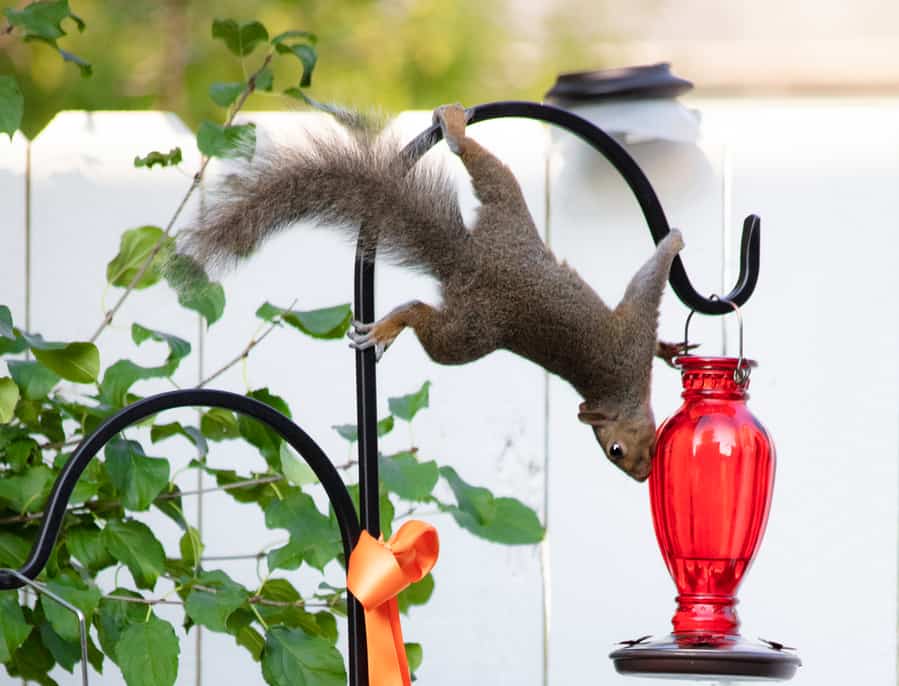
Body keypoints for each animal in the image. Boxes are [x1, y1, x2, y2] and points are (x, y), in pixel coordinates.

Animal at [185, 103, 688, 484]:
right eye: (616, 450)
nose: (641, 476)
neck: (619, 393)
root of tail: (466, 261)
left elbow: (650, 312)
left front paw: (669, 348)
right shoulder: (631, 337)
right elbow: (647, 283)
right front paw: (673, 242)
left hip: (506, 216)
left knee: (488, 173)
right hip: (469, 332)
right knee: (424, 309)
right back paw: (390, 323)